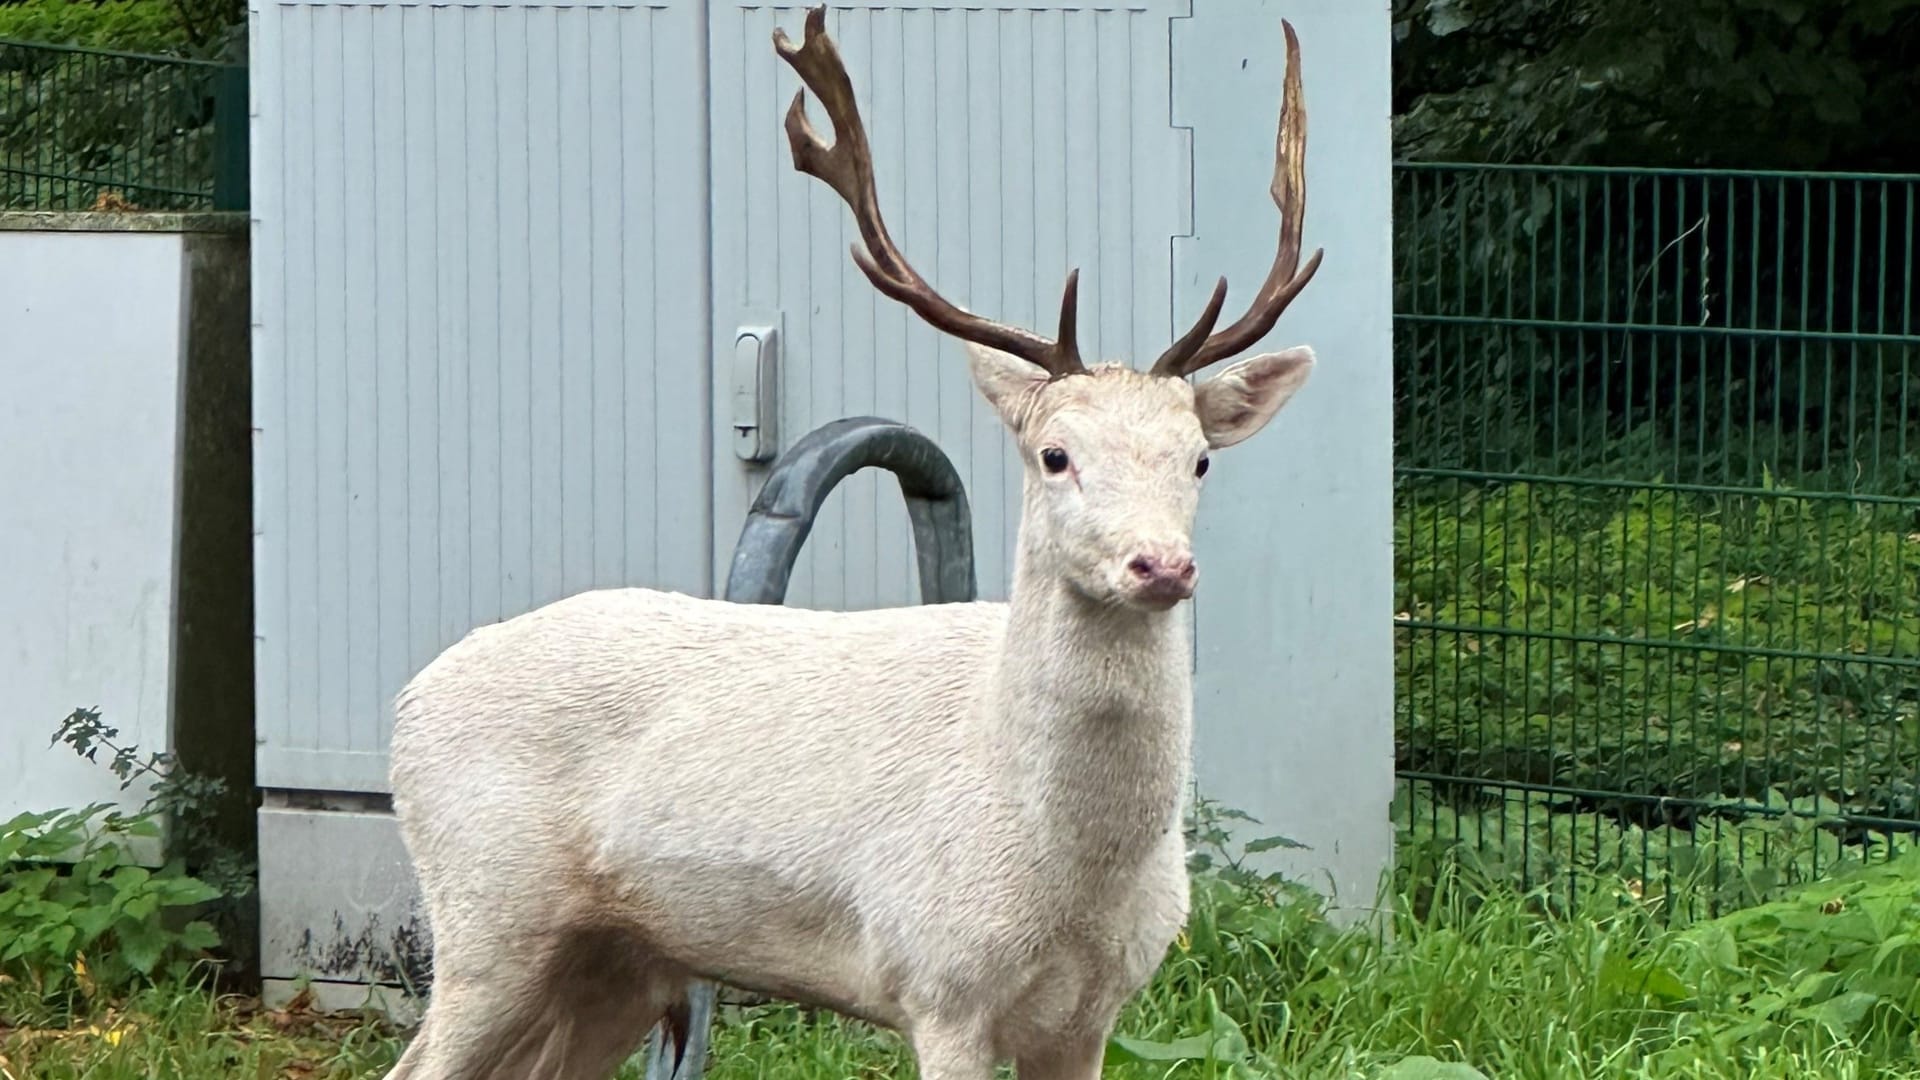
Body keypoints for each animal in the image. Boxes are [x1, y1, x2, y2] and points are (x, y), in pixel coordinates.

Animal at [384, 4, 1328, 1068]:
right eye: (1055, 454)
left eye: (1199, 460)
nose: (1160, 564)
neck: (1065, 875)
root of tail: (406, 707)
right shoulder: (942, 979)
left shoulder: (1099, 1010)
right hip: (486, 911)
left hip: (615, 961)